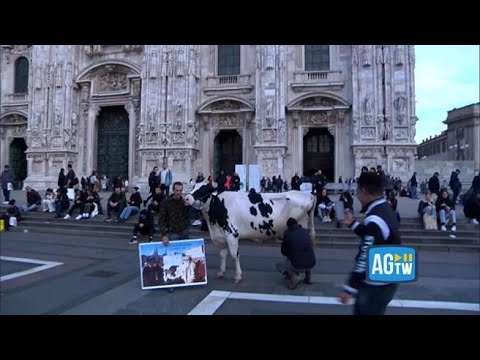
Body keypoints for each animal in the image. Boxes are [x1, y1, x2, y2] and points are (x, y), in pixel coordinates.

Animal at [183, 184, 316, 282]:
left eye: (203, 189)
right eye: (193, 185)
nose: (186, 198)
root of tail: (308, 194)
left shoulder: (232, 234)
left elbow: (234, 255)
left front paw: (238, 276)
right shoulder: (220, 237)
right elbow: (222, 255)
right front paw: (221, 272)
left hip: (301, 225)